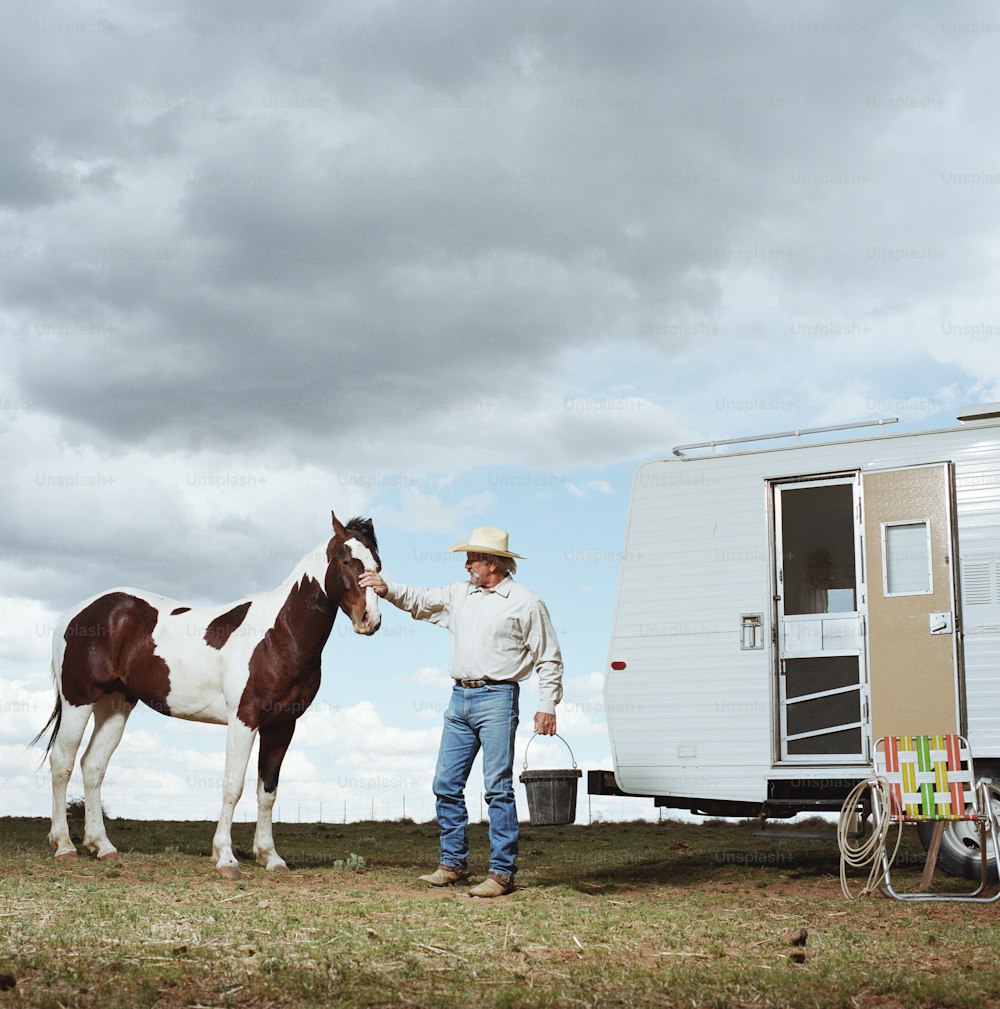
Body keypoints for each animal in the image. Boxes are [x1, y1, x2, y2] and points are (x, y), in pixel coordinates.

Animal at [34, 512, 379, 875]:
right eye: (345, 560)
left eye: (377, 563)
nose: (370, 619)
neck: (278, 633)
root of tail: (76, 613)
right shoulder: (244, 720)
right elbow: (233, 785)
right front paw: (225, 858)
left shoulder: (282, 725)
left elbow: (267, 791)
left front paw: (270, 857)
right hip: (79, 700)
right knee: (62, 762)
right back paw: (64, 846)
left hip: (115, 704)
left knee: (93, 765)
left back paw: (102, 847)